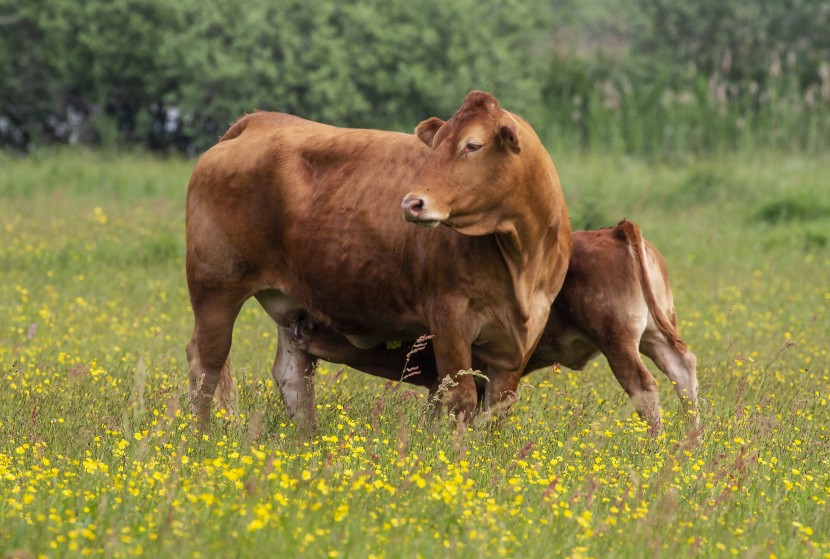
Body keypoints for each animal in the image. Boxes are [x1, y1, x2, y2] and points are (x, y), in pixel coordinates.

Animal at [186, 92, 572, 434]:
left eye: (473, 145)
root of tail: (258, 121)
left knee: (292, 376)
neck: (521, 259)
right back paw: (201, 436)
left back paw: (308, 440)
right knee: (206, 364)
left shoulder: (519, 339)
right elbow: (459, 397)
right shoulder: (449, 315)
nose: (412, 203)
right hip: (215, 288)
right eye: (437, 144)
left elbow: (496, 409)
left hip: (291, 306)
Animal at [282, 220, 700, 434]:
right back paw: (691, 440)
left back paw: (655, 441)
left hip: (618, 341)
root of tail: (614, 230)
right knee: (683, 368)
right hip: (654, 334)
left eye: (325, 318)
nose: (297, 324)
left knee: (644, 386)